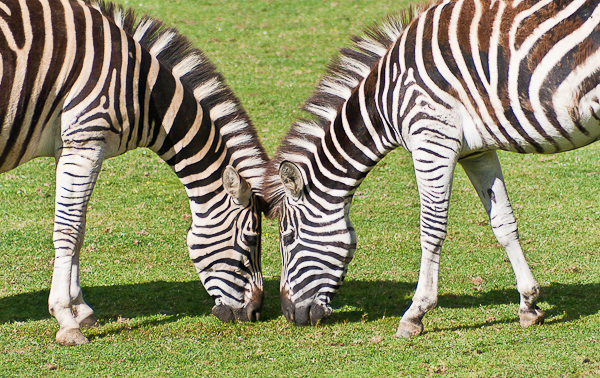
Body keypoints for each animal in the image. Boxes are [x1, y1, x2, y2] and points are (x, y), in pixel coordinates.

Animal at [0, 0, 268, 346]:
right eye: (250, 240)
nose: (256, 313)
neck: (144, 91)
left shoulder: (74, 145)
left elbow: (79, 229)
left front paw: (81, 309)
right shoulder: (85, 138)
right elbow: (68, 230)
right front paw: (66, 320)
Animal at [264, 0, 600, 336]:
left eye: (288, 238)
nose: (290, 315)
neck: (387, 98)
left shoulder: (432, 139)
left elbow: (431, 229)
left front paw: (416, 313)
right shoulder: (476, 151)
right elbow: (503, 222)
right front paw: (528, 304)